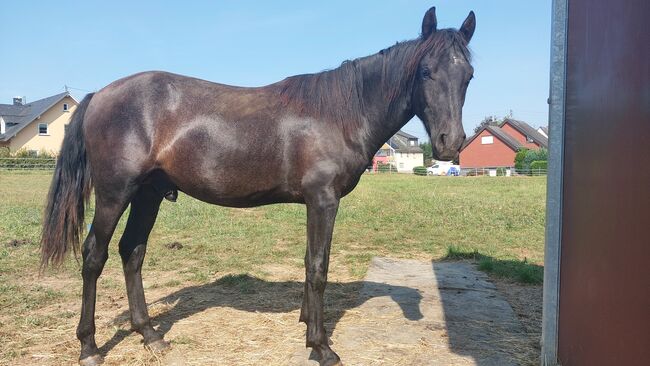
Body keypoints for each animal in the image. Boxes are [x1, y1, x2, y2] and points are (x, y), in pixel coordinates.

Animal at [41, 6, 476, 366]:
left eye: (468, 76)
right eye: (426, 71)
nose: (450, 143)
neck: (341, 112)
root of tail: (100, 94)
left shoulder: (315, 203)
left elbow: (309, 261)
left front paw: (306, 325)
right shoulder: (323, 200)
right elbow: (318, 267)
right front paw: (321, 346)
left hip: (148, 194)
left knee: (132, 252)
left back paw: (150, 335)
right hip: (116, 194)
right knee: (94, 256)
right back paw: (89, 347)